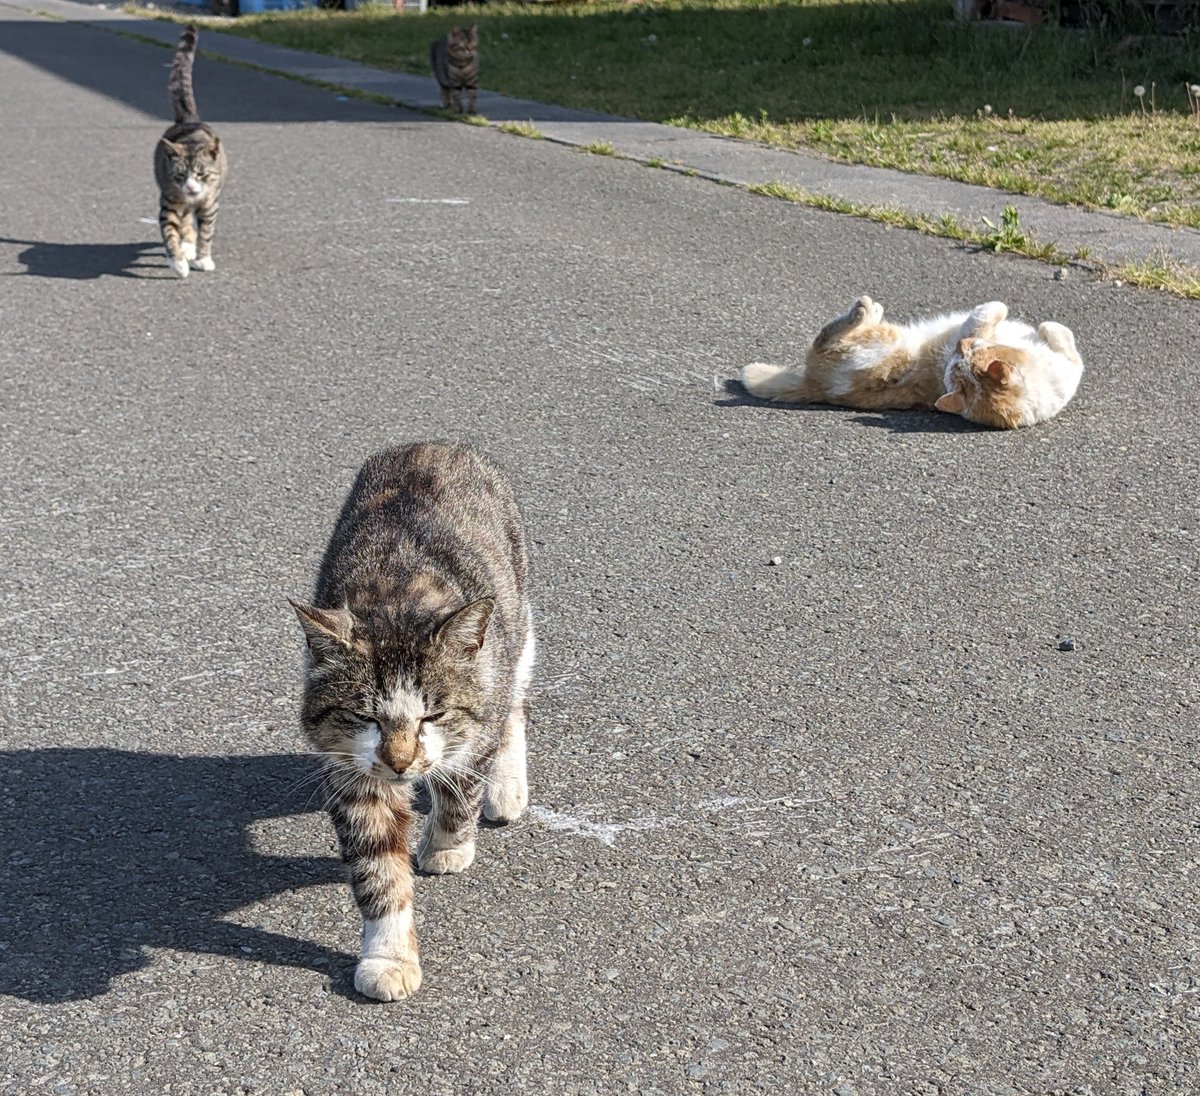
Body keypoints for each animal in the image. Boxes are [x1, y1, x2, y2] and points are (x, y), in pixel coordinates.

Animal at [153, 26, 228, 278]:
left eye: (202, 174)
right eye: (179, 175)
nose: (192, 187)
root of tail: (188, 120)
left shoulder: (210, 203)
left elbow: (206, 232)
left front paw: (203, 258)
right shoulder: (169, 199)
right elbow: (170, 232)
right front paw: (177, 261)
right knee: (185, 220)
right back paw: (186, 246)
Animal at [290, 439, 535, 998]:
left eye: (434, 714)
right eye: (365, 716)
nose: (401, 763)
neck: (397, 597)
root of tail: (433, 441)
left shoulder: (474, 713)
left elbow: (462, 784)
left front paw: (446, 845)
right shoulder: (352, 771)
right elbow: (378, 867)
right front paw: (389, 957)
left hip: (514, 612)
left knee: (513, 697)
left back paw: (506, 788)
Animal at [739, 295, 1089, 432]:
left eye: (971, 351)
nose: (960, 346)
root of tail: (816, 387)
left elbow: (989, 317)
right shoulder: (1067, 363)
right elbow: (1060, 333)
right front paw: (1037, 326)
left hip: (884, 346)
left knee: (826, 339)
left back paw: (865, 310)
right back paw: (870, 310)